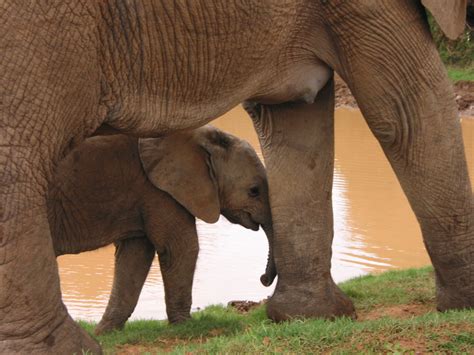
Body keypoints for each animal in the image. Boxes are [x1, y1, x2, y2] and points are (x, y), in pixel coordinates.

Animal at [47, 126, 278, 336]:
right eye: (254, 191)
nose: (263, 279)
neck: (202, 135)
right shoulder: (158, 191)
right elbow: (181, 247)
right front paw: (185, 326)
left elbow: (134, 256)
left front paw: (104, 333)